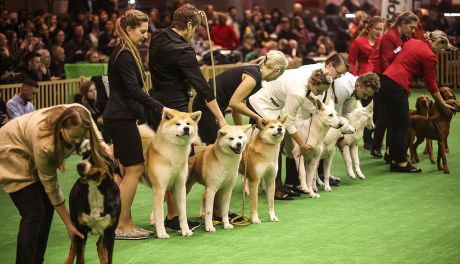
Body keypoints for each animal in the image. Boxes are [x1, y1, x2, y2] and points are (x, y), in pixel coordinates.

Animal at [141, 108, 200, 240]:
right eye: (177, 124)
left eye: (188, 124)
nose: (186, 129)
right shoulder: (160, 188)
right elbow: (160, 214)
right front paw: (161, 233)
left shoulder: (180, 186)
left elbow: (182, 213)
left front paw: (185, 230)